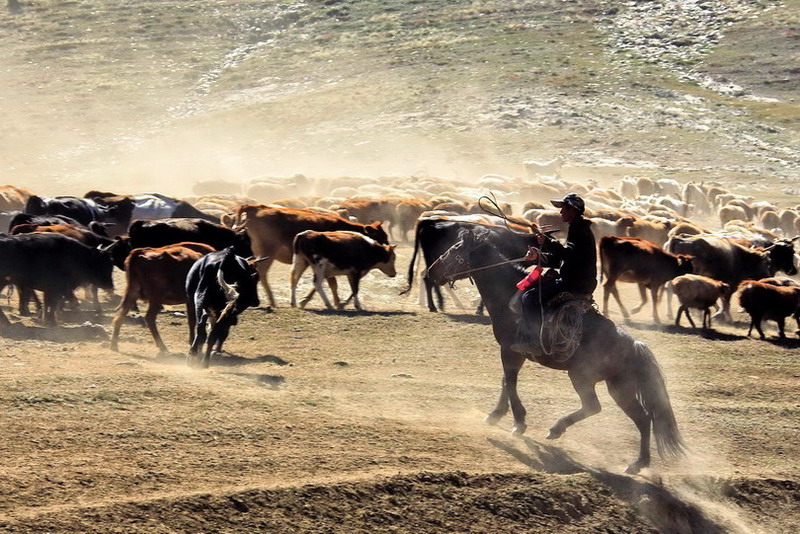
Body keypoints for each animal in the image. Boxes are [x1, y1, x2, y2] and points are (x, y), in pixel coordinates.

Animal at [228, 204, 390, 310]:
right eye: (380, 237)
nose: (387, 249)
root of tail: (255, 208)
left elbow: (328, 283)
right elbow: (327, 283)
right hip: (268, 251)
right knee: (261, 272)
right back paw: (271, 301)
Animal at [428, 228, 684, 476]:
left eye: (455, 249)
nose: (431, 271)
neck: (509, 297)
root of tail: (633, 345)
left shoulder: (510, 351)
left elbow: (510, 382)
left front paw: (519, 422)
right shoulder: (514, 352)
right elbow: (506, 381)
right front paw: (495, 414)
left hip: (583, 378)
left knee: (596, 407)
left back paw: (557, 429)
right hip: (619, 387)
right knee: (642, 419)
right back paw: (638, 463)